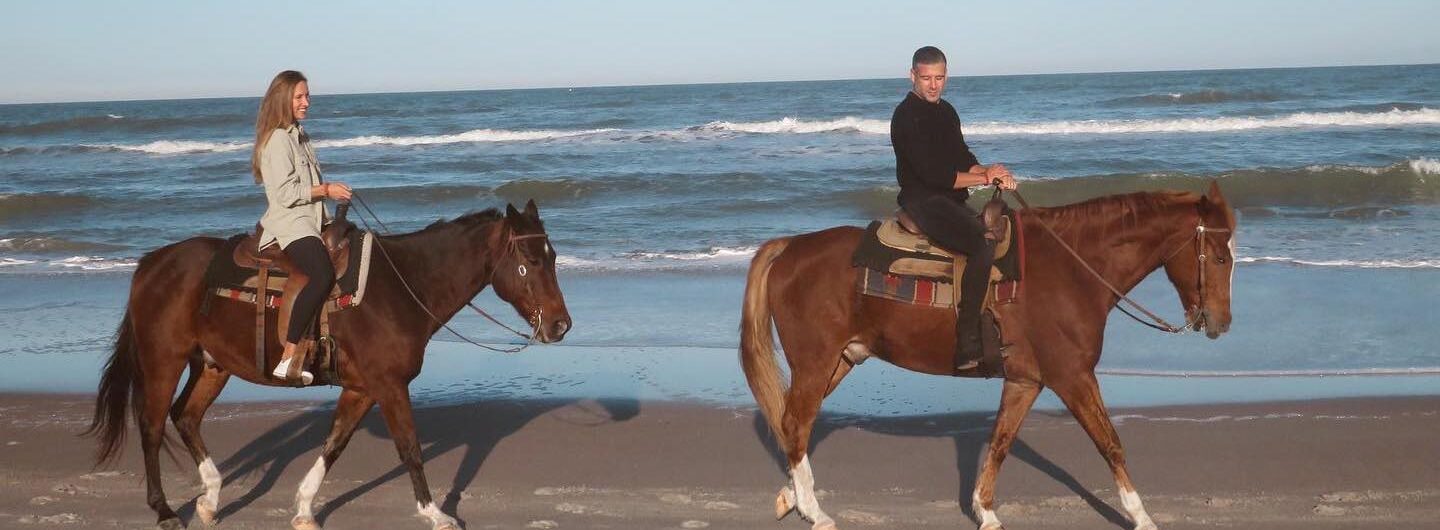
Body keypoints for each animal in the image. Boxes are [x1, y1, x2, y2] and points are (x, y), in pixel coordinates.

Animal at [85, 200, 573, 530]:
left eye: (552, 256)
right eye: (531, 262)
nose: (561, 325)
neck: (401, 288)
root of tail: (152, 264)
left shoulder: (362, 389)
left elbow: (334, 444)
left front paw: (303, 507)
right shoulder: (389, 386)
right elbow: (410, 449)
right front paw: (435, 513)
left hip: (212, 365)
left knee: (185, 416)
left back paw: (210, 498)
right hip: (163, 361)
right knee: (152, 427)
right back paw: (166, 510)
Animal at [743, 182, 1238, 530]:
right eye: (1218, 256)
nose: (1220, 322)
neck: (1071, 270)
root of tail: (790, 247)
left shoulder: (1025, 380)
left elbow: (1000, 442)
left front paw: (986, 511)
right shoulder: (1073, 376)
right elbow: (1110, 443)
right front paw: (1143, 516)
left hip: (842, 359)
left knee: (794, 422)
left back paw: (794, 498)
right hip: (816, 361)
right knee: (795, 422)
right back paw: (816, 511)